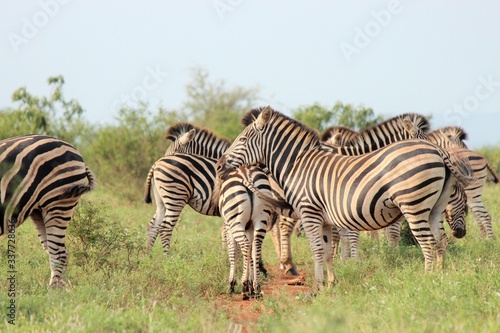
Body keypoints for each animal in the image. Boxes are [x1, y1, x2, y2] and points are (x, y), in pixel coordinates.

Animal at [0, 133, 95, 286]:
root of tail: (73, 148)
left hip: (58, 204)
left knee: (59, 253)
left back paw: (53, 291)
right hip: (39, 210)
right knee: (57, 251)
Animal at [218, 105, 472, 288]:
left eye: (242, 140)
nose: (220, 165)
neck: (298, 164)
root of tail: (438, 152)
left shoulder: (310, 213)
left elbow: (318, 250)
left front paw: (318, 286)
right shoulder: (325, 218)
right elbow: (328, 251)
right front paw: (332, 282)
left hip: (414, 205)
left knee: (428, 242)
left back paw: (427, 280)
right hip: (434, 208)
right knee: (441, 241)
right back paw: (439, 277)